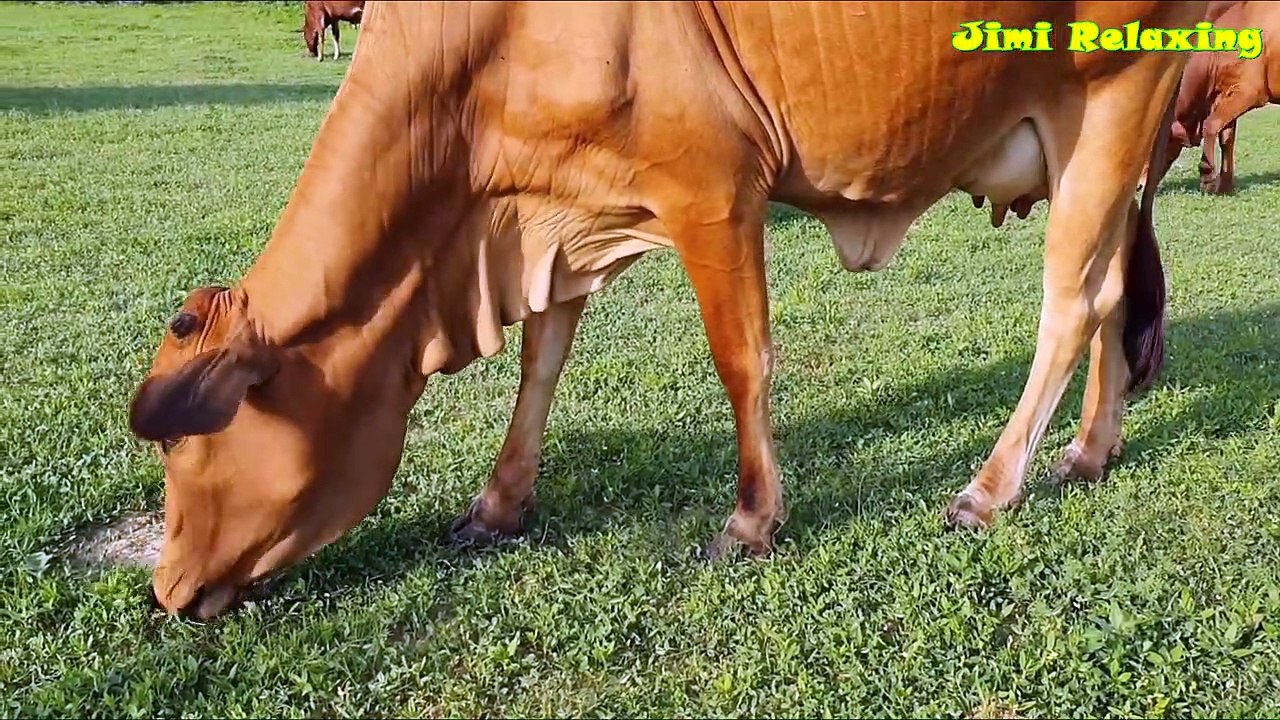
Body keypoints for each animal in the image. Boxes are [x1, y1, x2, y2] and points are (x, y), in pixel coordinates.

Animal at [129, 1, 1202, 619]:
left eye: (186, 444)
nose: (166, 589)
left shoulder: (716, 190)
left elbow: (743, 360)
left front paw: (751, 519)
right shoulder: (557, 214)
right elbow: (542, 361)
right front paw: (498, 503)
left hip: (1116, 90)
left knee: (1071, 302)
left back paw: (990, 487)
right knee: (1114, 294)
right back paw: (1090, 450)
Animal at [1144, 1, 1278, 194]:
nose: (1139, 186)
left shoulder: (1250, 91)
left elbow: (1211, 125)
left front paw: (1207, 176)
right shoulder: (1224, 94)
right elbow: (1226, 137)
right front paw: (1226, 186)